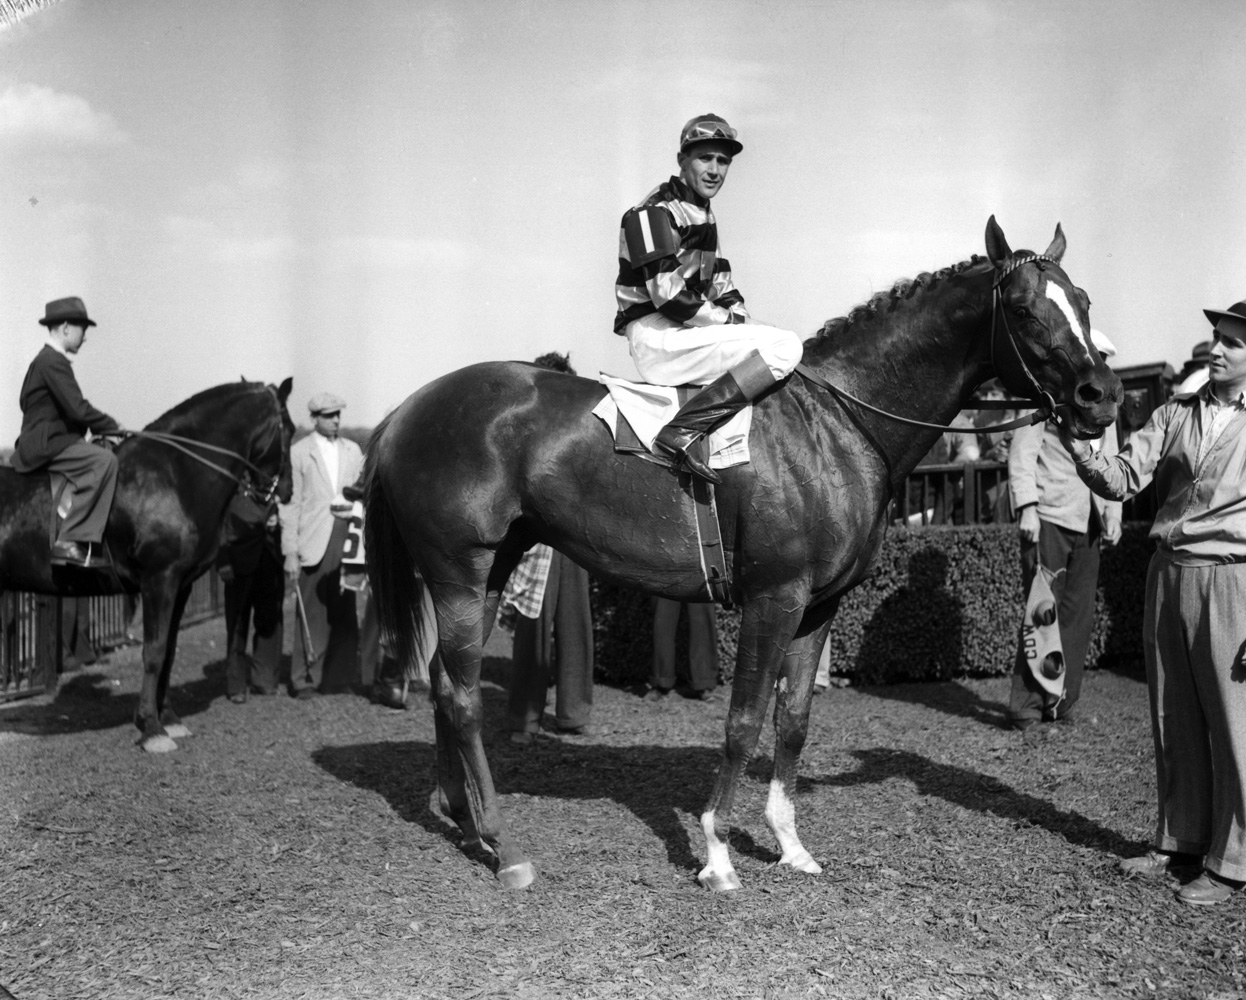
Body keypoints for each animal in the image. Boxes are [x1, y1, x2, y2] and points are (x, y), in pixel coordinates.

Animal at [0, 378, 294, 752]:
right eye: (290, 429)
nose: (286, 491)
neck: (175, 475)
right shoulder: (159, 580)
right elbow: (153, 652)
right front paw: (151, 727)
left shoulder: (181, 585)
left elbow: (168, 651)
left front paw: (168, 718)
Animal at [363, 216, 1126, 891]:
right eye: (1024, 308)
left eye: (1085, 301)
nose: (1102, 396)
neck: (839, 424)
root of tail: (403, 411)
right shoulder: (773, 598)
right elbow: (743, 722)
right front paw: (718, 855)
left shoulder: (820, 606)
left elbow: (793, 722)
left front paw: (789, 845)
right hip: (458, 571)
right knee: (463, 695)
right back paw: (504, 844)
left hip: (489, 569)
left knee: (443, 683)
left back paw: (462, 816)